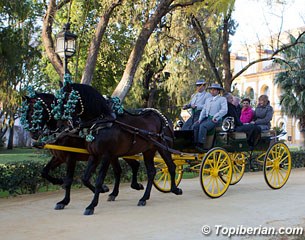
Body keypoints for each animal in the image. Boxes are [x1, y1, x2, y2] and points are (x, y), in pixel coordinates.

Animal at [57, 83, 183, 215]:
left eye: (67, 99)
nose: (62, 124)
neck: (102, 121)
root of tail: (164, 118)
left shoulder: (106, 155)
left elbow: (99, 180)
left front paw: (91, 205)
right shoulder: (94, 155)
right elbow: (85, 178)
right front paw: (101, 192)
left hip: (163, 148)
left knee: (171, 166)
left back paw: (174, 189)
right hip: (148, 150)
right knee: (151, 172)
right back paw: (144, 198)